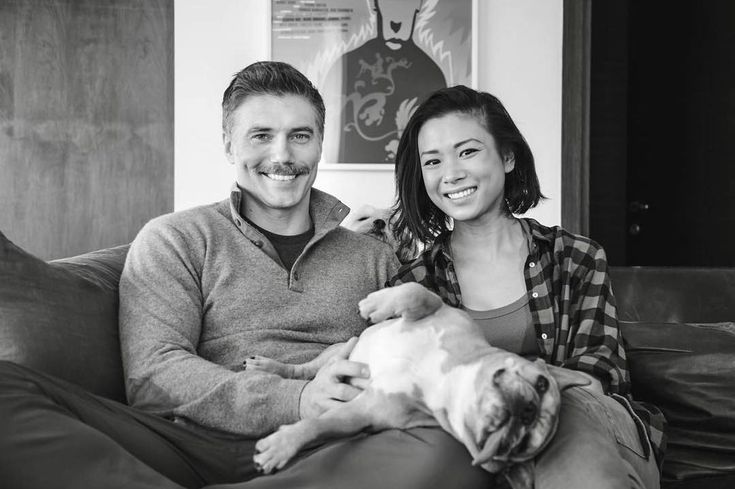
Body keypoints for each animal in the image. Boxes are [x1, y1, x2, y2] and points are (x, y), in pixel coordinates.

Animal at [250, 280, 588, 486]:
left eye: (520, 445)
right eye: (542, 384)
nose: (528, 411)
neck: (446, 385)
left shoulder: (361, 413)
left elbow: (319, 425)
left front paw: (282, 445)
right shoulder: (446, 311)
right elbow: (418, 292)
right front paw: (376, 304)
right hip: (339, 349)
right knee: (305, 370)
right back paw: (267, 364)